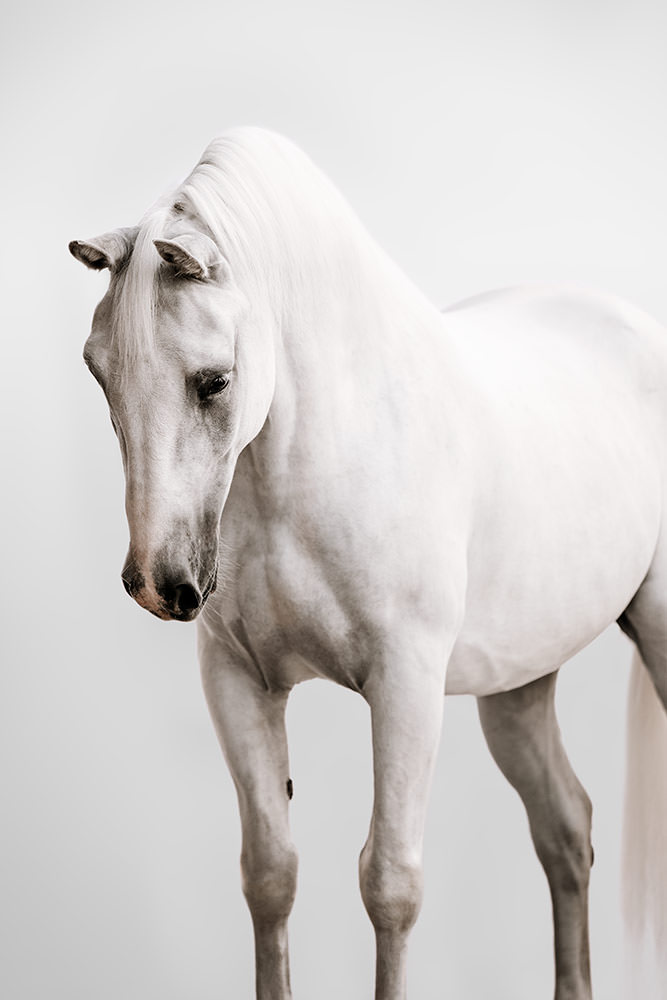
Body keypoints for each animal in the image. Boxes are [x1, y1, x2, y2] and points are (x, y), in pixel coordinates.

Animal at [69, 127, 667, 999]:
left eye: (213, 381)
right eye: (99, 373)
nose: (159, 582)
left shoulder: (405, 685)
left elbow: (389, 885)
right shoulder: (237, 681)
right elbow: (269, 874)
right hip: (518, 685)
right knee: (564, 828)